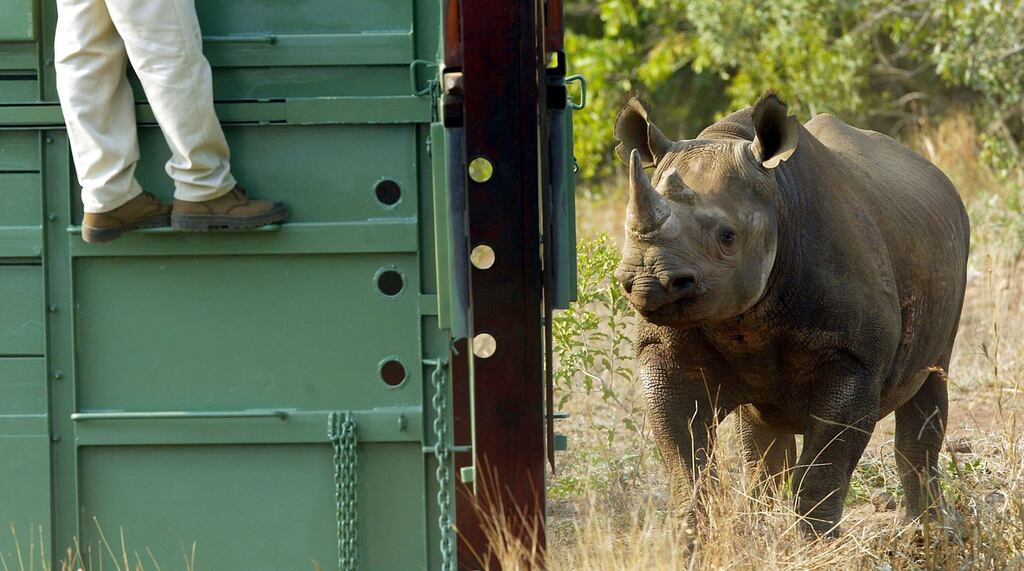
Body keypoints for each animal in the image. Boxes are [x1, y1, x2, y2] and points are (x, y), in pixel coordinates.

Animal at [613, 93, 970, 536]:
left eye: (728, 237)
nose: (648, 282)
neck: (775, 195)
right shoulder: (665, 350)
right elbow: (686, 461)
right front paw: (694, 538)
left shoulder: (854, 360)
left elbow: (822, 468)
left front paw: (813, 542)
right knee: (762, 428)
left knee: (932, 380)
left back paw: (929, 534)